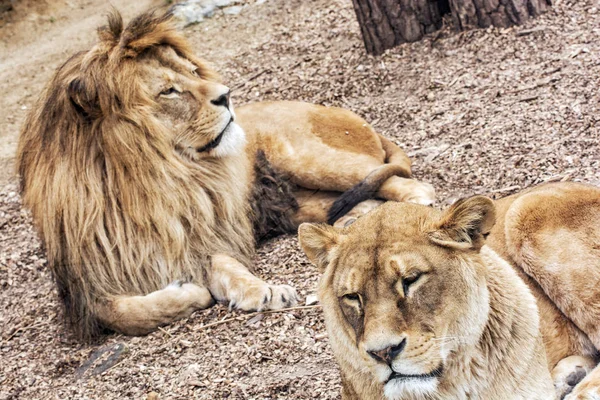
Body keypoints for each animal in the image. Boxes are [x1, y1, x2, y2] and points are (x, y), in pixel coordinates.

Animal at [16, 10, 434, 340]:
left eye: (192, 72)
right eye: (169, 91)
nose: (226, 95)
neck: (146, 185)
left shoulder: (203, 237)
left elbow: (225, 265)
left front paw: (259, 290)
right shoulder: (87, 290)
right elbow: (124, 313)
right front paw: (197, 293)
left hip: (306, 156)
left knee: (403, 179)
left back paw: (414, 208)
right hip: (299, 203)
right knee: (352, 203)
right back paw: (351, 224)